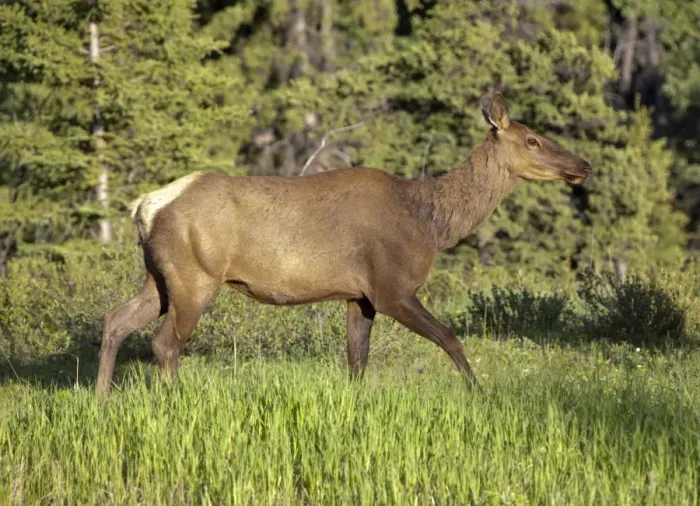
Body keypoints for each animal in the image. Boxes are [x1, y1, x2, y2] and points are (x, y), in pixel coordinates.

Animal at [95, 92, 592, 400]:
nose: (583, 165)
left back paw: (100, 399)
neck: (431, 224)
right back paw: (173, 399)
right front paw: (480, 394)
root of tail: (145, 206)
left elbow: (357, 361)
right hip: (194, 276)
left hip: (159, 276)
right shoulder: (392, 287)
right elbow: (451, 338)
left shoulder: (360, 295)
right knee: (165, 343)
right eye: (533, 139)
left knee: (116, 319)